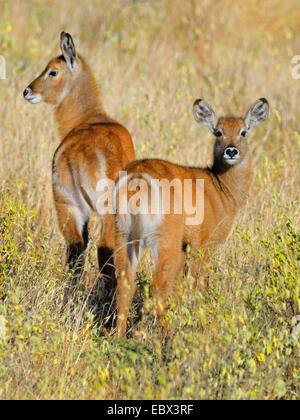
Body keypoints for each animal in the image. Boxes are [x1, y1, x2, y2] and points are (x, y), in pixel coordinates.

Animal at [23, 32, 135, 290]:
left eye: (52, 71)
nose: (27, 91)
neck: (90, 118)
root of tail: (75, 152)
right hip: (105, 212)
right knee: (103, 251)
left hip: (67, 205)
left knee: (75, 251)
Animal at [112, 97, 270, 336]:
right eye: (218, 132)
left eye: (243, 132)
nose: (231, 151)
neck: (222, 189)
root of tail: (137, 179)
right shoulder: (202, 243)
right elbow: (199, 283)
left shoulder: (184, 246)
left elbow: (179, 287)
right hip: (165, 238)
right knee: (158, 286)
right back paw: (169, 335)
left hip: (125, 235)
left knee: (125, 282)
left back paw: (118, 336)